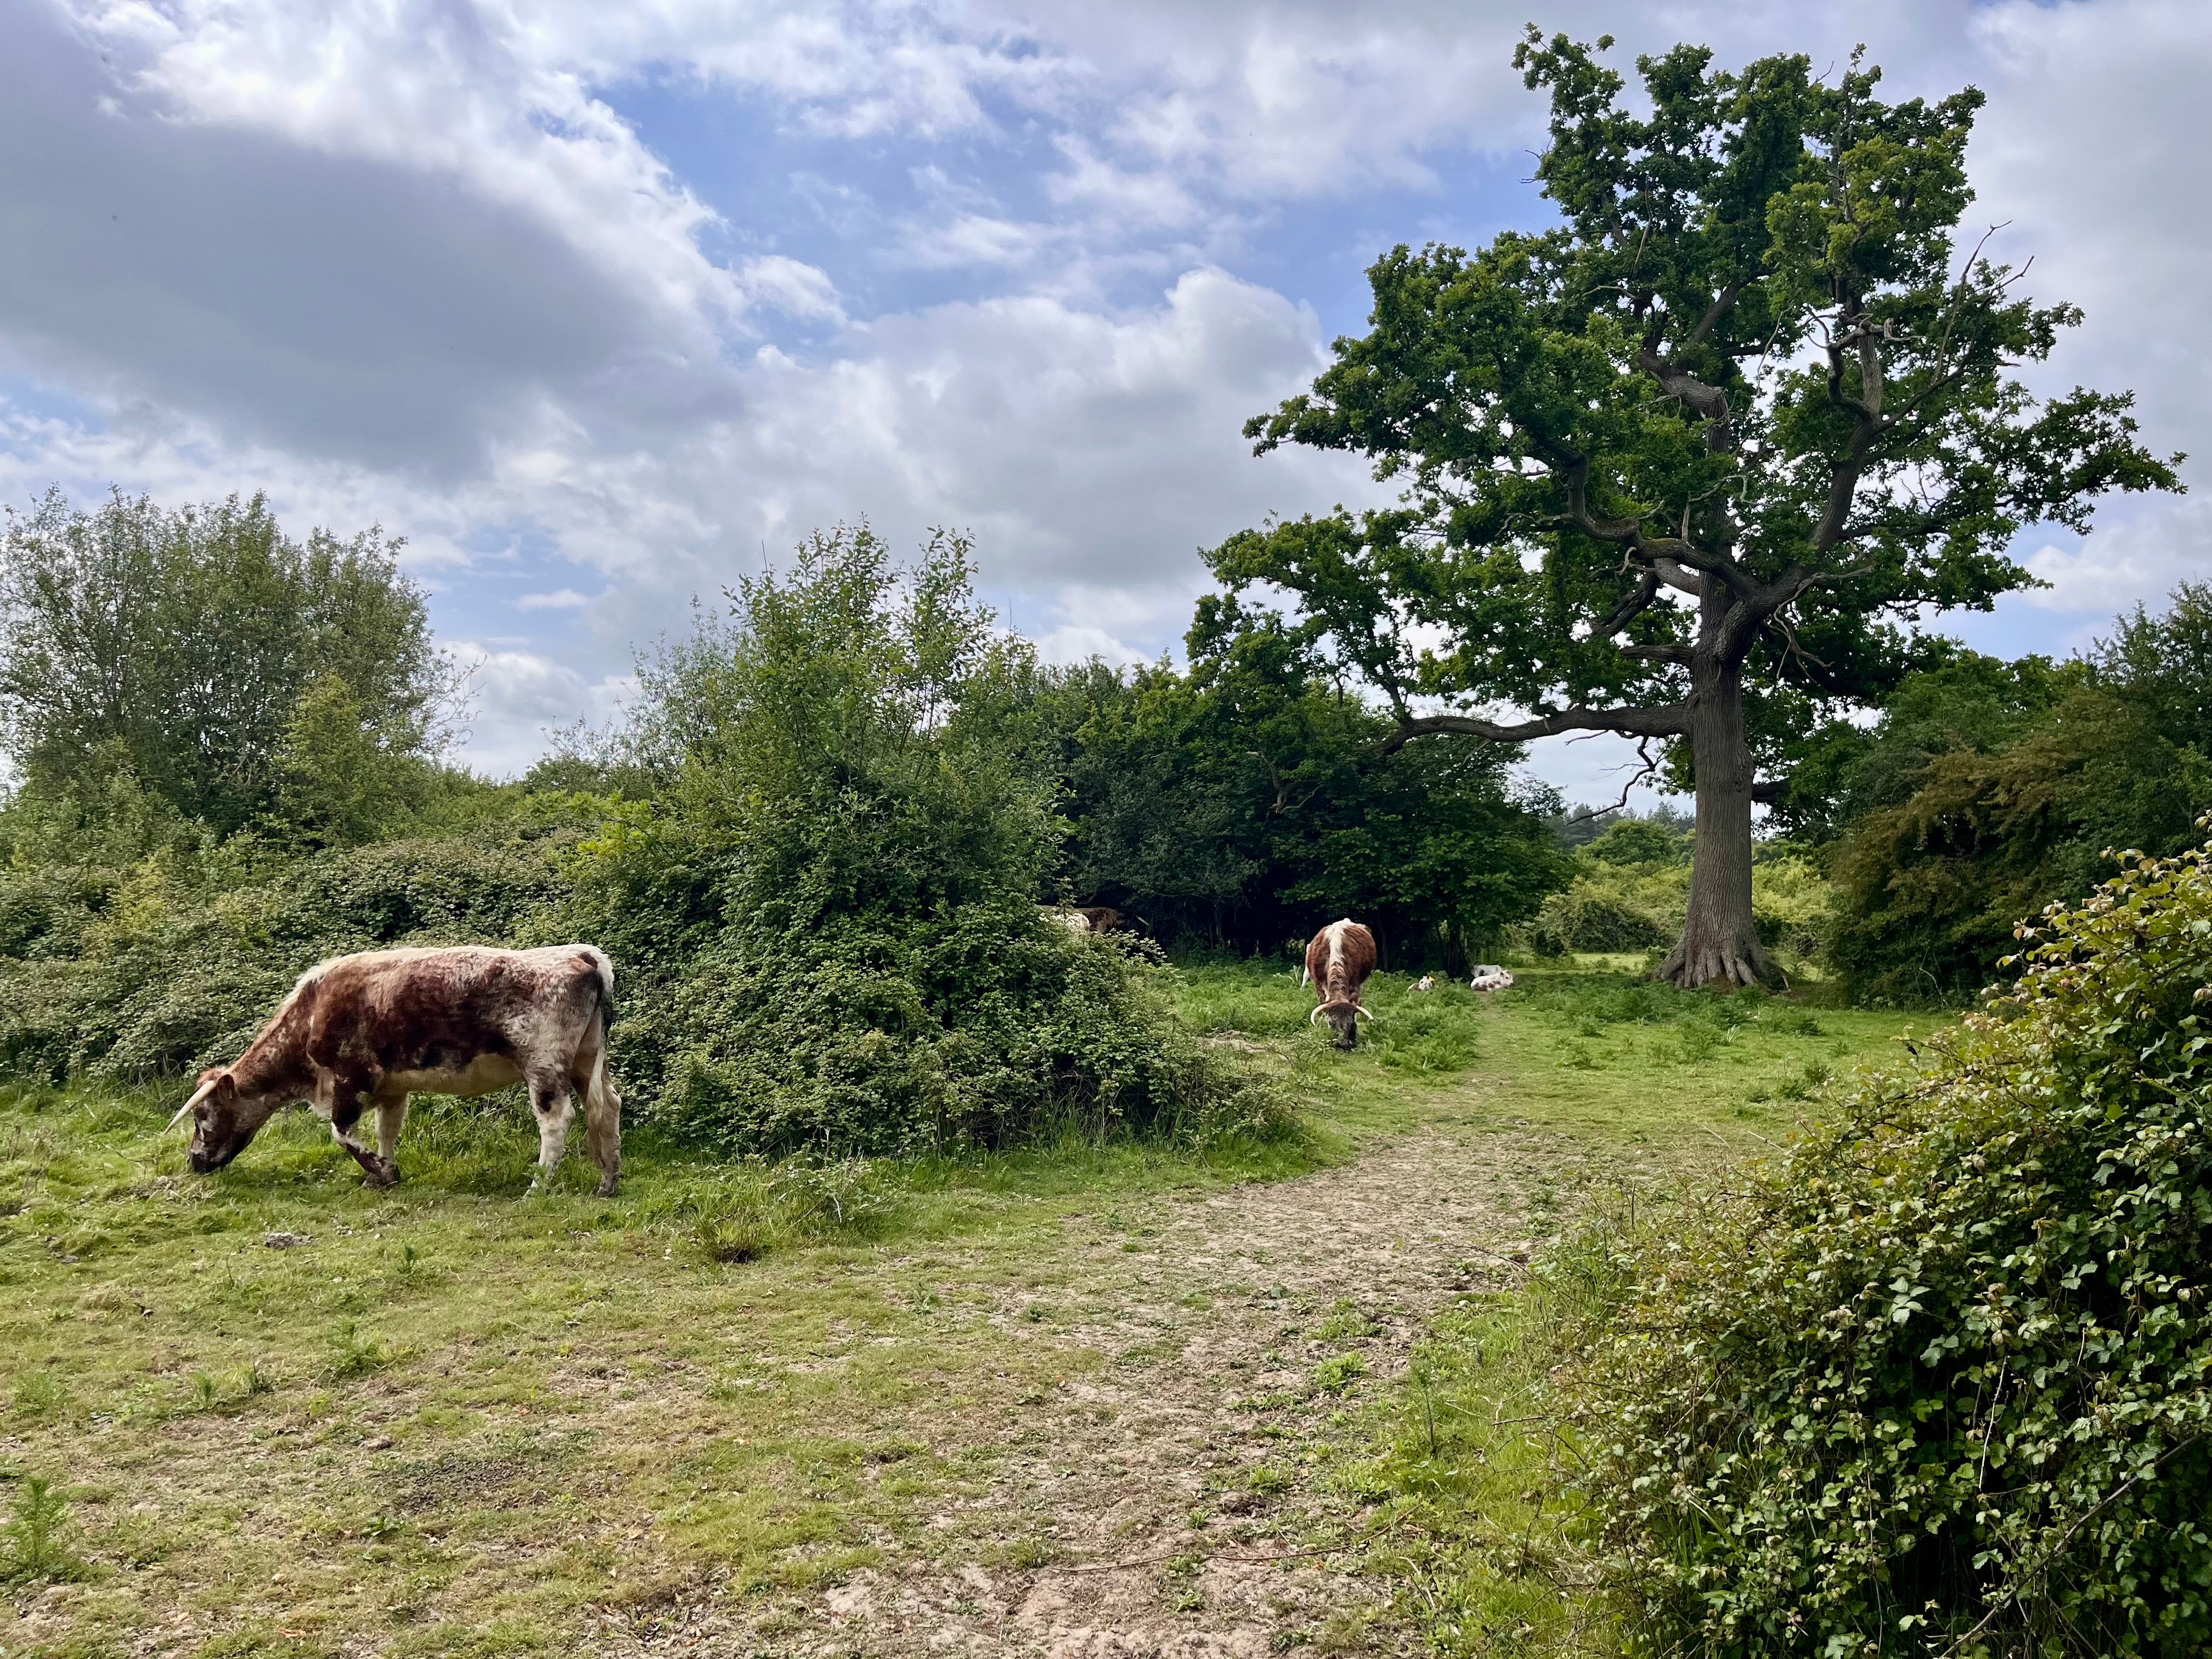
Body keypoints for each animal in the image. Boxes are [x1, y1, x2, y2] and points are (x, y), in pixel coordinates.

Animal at [168, 945, 623, 1196]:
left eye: (203, 1114)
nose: (194, 1161)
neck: (312, 1012)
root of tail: (581, 954)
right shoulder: (392, 1086)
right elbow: (387, 1128)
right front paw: (382, 1174)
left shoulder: (350, 1078)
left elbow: (341, 1132)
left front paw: (382, 1170)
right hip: (587, 1062)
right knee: (607, 1109)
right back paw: (609, 1182)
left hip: (544, 1068)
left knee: (557, 1121)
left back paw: (538, 1185)